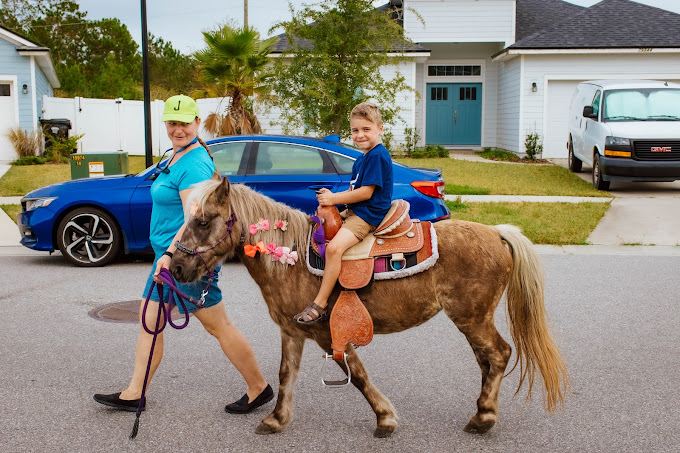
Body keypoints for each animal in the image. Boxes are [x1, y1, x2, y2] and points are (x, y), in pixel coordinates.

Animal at [171, 175, 568, 436]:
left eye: (202, 221)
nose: (174, 267)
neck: (292, 260)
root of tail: (498, 233)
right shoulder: (292, 331)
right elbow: (286, 374)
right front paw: (275, 419)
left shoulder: (328, 332)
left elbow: (358, 375)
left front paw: (385, 419)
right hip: (471, 319)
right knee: (487, 360)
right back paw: (483, 410)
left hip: (472, 317)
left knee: (499, 354)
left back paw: (483, 417)